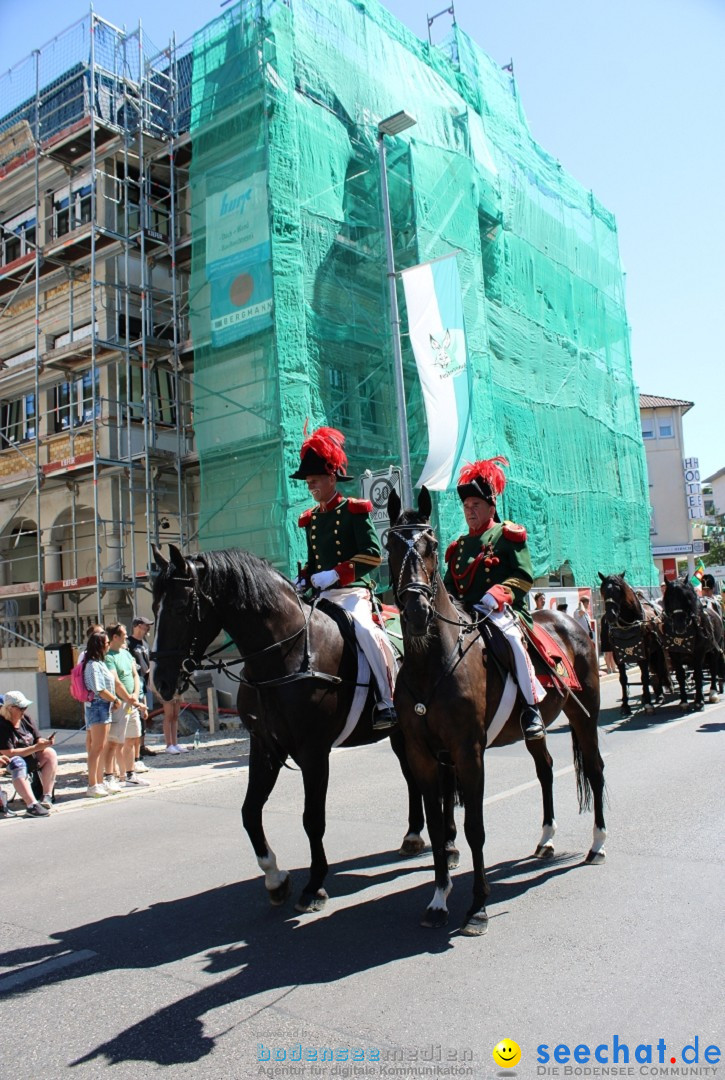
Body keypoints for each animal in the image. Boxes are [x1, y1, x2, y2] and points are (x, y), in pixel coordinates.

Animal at [146, 548, 432, 911]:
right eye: (154, 608)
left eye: (181, 608)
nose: (159, 682)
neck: (286, 655)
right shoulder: (264, 746)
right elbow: (250, 811)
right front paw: (275, 877)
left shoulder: (313, 752)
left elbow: (312, 819)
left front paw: (314, 886)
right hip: (400, 733)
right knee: (411, 776)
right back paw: (413, 836)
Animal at [384, 490, 605, 937]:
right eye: (391, 545)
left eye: (432, 545)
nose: (416, 611)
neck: (432, 661)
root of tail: (569, 617)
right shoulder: (423, 756)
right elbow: (438, 827)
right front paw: (438, 899)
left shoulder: (468, 753)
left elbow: (474, 827)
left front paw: (478, 907)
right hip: (535, 730)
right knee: (545, 768)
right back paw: (547, 839)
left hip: (585, 716)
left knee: (594, 769)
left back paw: (597, 844)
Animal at [596, 574, 674, 717]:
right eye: (603, 591)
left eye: (618, 591)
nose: (610, 615)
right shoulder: (619, 656)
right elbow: (623, 679)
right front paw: (625, 705)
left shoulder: (644, 654)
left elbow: (645, 677)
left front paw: (648, 703)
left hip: (657, 650)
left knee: (660, 670)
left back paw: (661, 692)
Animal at [665, 578, 725, 712]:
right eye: (669, 599)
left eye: (686, 599)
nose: (679, 626)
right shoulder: (674, 654)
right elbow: (680, 675)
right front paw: (684, 702)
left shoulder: (699, 652)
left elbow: (698, 675)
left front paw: (699, 702)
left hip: (715, 649)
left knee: (713, 668)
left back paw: (713, 693)